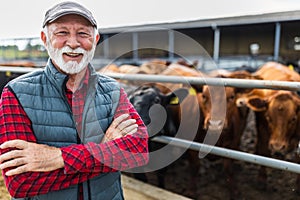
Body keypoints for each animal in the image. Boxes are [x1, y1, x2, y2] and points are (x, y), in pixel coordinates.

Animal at [236, 61, 300, 192]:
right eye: (268, 117)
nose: (277, 146)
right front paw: (262, 179)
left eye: (293, 119)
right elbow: (264, 151)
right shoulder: (263, 128)